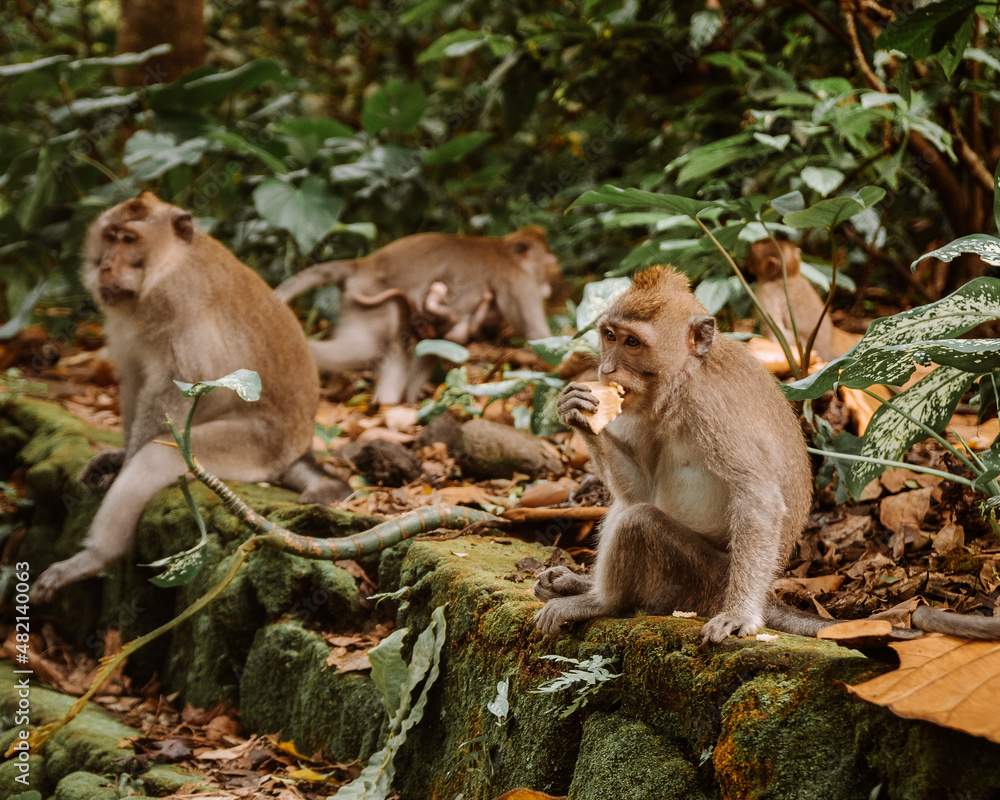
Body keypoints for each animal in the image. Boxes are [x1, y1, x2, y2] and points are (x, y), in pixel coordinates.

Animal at [31, 194, 350, 604]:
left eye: (129, 239)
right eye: (110, 236)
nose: (104, 265)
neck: (168, 263)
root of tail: (297, 450)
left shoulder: (174, 298)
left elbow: (174, 387)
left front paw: (123, 465)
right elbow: (135, 379)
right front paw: (117, 456)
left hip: (253, 447)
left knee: (158, 457)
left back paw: (96, 556)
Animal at [274, 227, 560, 406]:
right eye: (549, 266)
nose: (549, 286)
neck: (505, 249)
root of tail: (362, 265)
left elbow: (433, 349)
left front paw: (413, 398)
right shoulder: (519, 283)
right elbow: (538, 336)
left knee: (396, 345)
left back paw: (389, 402)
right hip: (373, 299)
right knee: (368, 348)